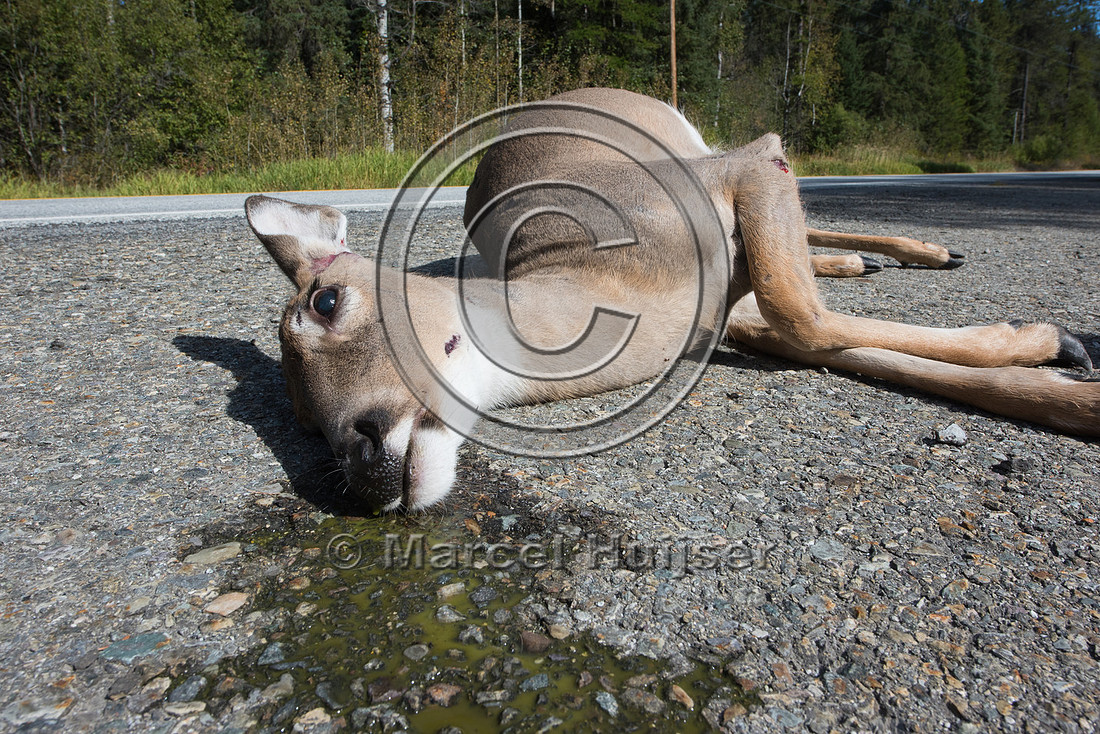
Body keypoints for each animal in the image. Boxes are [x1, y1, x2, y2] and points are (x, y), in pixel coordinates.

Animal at [245, 88, 1098, 513]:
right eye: (301, 421)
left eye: (325, 302)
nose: (362, 468)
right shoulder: (727, 315)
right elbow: (826, 334)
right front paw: (1054, 365)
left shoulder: (742, 169)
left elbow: (799, 309)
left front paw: (1056, 344)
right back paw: (867, 259)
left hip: (701, 149)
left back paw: (922, 249)